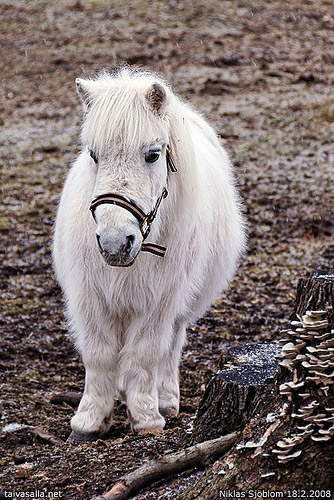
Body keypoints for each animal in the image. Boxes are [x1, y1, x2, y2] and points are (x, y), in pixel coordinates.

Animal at [52, 67, 245, 442]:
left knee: (171, 345)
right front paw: (89, 421)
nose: (114, 243)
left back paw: (166, 400)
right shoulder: (90, 297)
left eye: (153, 154)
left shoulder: (159, 300)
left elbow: (145, 353)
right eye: (93, 155)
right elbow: (99, 354)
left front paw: (145, 418)